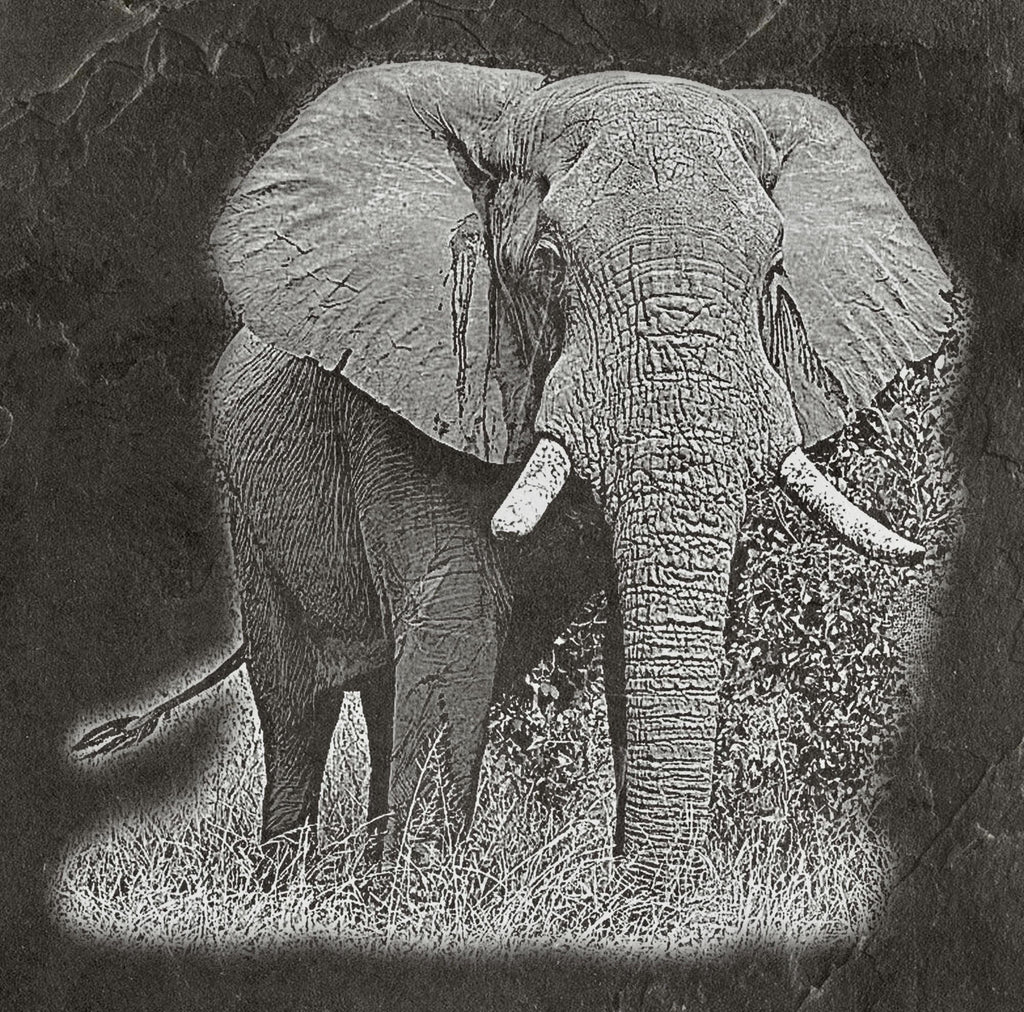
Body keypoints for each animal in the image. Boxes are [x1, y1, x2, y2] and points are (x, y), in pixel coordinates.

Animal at [78, 60, 952, 871]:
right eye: (551, 258)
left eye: (774, 271)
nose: (635, 902)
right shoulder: (415, 380)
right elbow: (458, 613)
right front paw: (424, 907)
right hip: (248, 515)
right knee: (297, 707)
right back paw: (292, 886)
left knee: (384, 696)